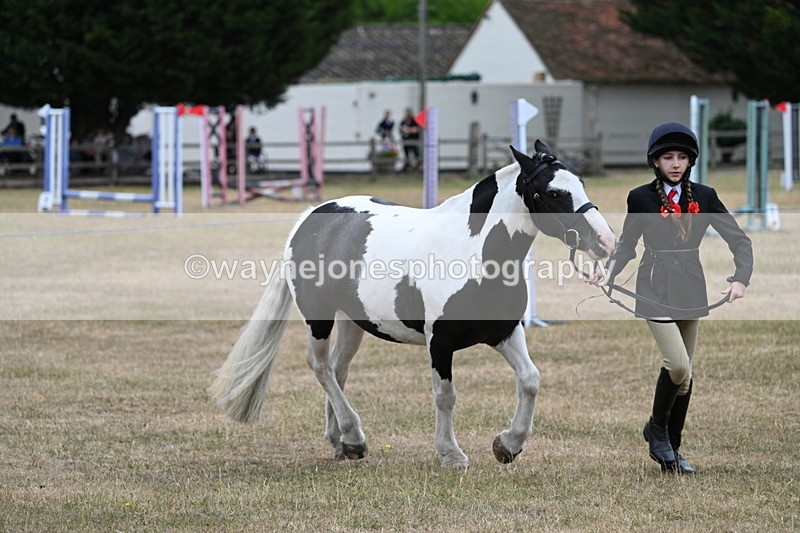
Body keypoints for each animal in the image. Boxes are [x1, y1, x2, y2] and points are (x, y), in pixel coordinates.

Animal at [210, 141, 615, 468]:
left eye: (581, 184)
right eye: (555, 192)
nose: (605, 241)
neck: (473, 253)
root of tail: (310, 217)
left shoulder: (504, 332)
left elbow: (530, 380)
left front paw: (508, 445)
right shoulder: (440, 343)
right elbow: (445, 396)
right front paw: (451, 454)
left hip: (354, 322)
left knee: (338, 371)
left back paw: (341, 442)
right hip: (318, 317)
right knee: (320, 366)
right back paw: (354, 437)